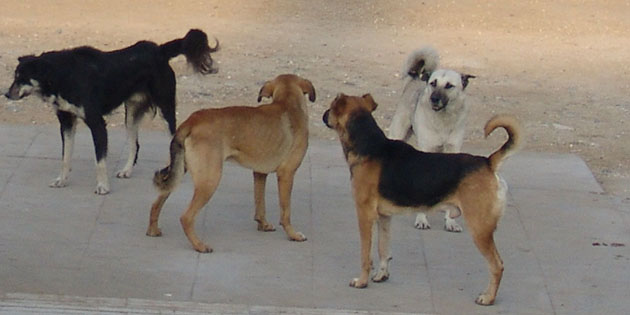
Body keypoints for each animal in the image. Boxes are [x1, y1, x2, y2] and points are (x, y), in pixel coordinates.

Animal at [4, 29, 220, 195]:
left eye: (22, 78)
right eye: (15, 76)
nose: (5, 94)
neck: (62, 75)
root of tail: (159, 50)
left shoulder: (97, 123)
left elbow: (99, 161)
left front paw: (102, 186)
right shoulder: (66, 121)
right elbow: (65, 157)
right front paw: (62, 180)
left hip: (166, 108)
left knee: (173, 141)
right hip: (131, 114)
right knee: (135, 145)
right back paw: (126, 170)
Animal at [148, 74, 316, 254]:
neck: (288, 103)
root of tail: (192, 121)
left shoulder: (259, 173)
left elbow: (260, 204)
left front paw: (263, 225)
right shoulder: (286, 174)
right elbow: (286, 212)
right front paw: (293, 234)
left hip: (175, 172)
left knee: (156, 204)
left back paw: (153, 230)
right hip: (210, 180)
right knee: (186, 217)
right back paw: (199, 245)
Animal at [326, 93, 524, 306]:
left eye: (331, 107)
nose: (324, 115)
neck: (370, 146)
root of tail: (488, 163)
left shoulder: (365, 216)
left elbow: (366, 254)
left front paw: (362, 281)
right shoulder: (384, 217)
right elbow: (383, 249)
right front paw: (381, 275)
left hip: (480, 230)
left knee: (497, 265)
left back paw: (488, 298)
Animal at [390, 46, 474, 232]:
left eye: (449, 86)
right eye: (433, 83)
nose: (434, 99)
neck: (443, 121)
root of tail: (415, 78)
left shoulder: (452, 151)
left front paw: (450, 221)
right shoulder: (426, 150)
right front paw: (421, 219)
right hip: (398, 133)